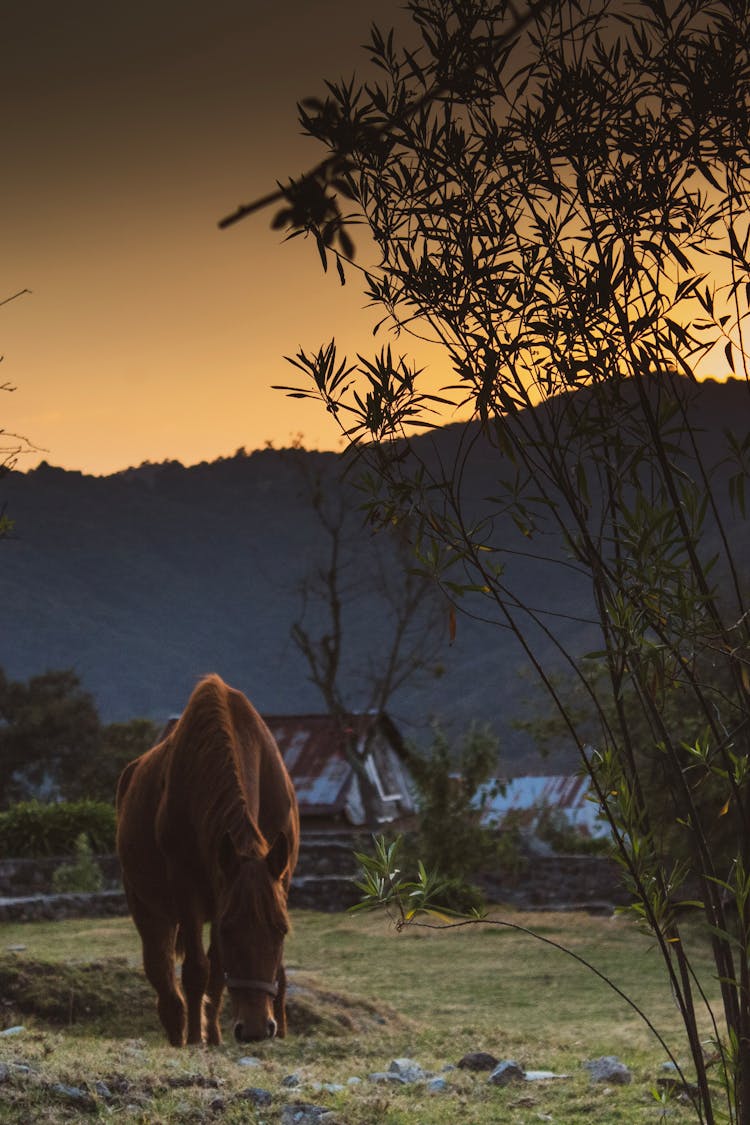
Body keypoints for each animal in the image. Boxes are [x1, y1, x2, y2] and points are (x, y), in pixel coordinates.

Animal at [115, 670, 296, 1048]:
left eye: (281, 929)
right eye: (230, 929)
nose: (256, 1028)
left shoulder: (276, 880)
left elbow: (226, 971)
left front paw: (213, 1035)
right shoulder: (188, 892)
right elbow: (197, 970)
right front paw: (195, 1039)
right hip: (147, 905)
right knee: (162, 974)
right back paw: (179, 1034)